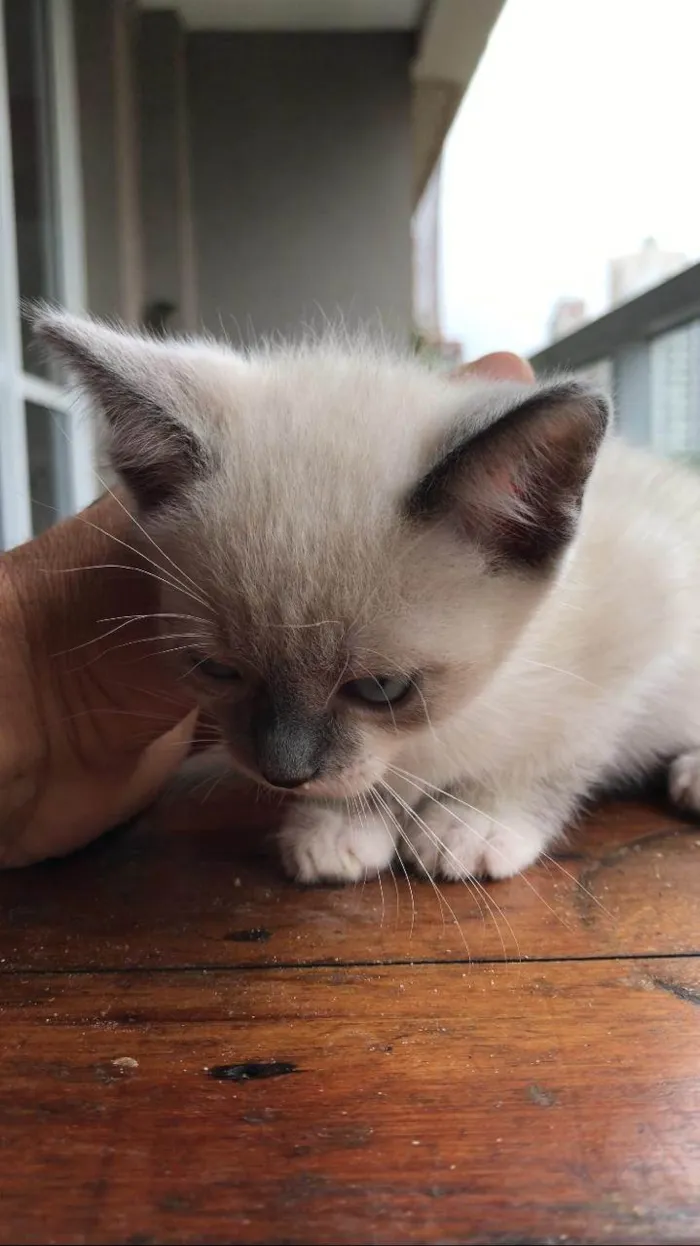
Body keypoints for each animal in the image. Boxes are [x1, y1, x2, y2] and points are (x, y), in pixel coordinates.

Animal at [34, 311, 700, 887]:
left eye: (382, 689)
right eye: (217, 670)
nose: (283, 774)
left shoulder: (645, 640)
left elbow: (555, 752)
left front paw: (474, 821)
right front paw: (338, 826)